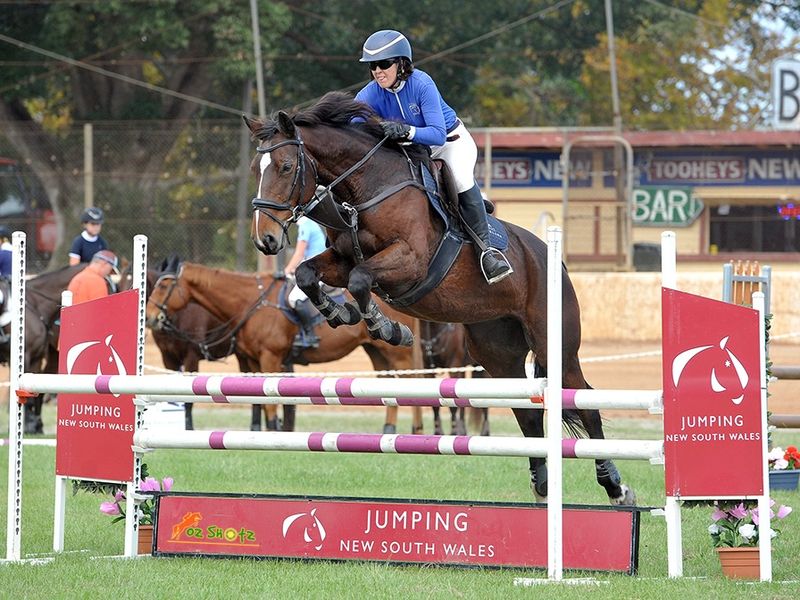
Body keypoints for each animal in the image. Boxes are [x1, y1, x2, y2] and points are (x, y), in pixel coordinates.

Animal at [144, 261, 423, 433]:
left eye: (164, 285)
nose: (149, 318)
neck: (251, 302)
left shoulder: (270, 358)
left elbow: (269, 400)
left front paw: (274, 429)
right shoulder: (253, 361)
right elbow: (261, 400)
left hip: (397, 354)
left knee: (411, 384)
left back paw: (414, 429)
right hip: (375, 351)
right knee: (388, 386)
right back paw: (389, 429)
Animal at [245, 91, 636, 506]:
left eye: (286, 167)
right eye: (256, 167)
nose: (265, 240)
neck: (368, 188)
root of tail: (551, 257)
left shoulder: (411, 261)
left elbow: (361, 279)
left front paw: (388, 328)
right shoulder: (341, 258)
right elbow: (309, 273)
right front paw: (340, 313)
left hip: (555, 346)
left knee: (584, 402)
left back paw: (615, 487)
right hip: (498, 352)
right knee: (528, 413)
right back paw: (543, 486)